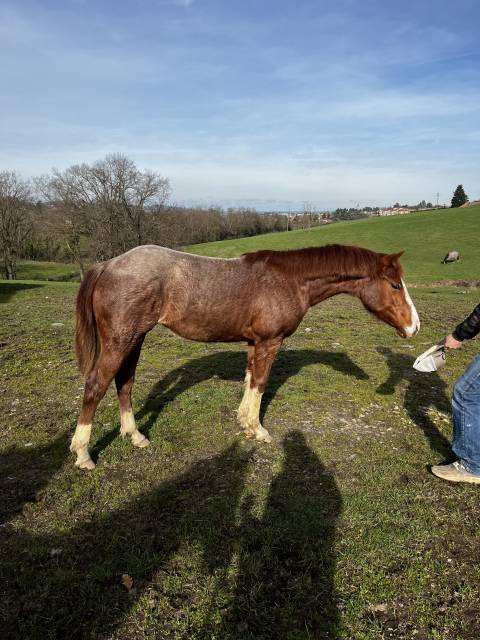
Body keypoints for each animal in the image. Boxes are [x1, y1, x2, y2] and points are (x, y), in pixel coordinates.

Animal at [71, 244, 420, 470]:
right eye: (394, 285)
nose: (414, 326)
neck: (289, 280)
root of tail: (107, 265)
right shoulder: (270, 342)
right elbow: (261, 382)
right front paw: (258, 430)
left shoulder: (255, 342)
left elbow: (250, 379)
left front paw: (244, 422)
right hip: (121, 341)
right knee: (96, 385)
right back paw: (83, 453)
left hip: (135, 339)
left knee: (124, 383)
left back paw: (135, 435)